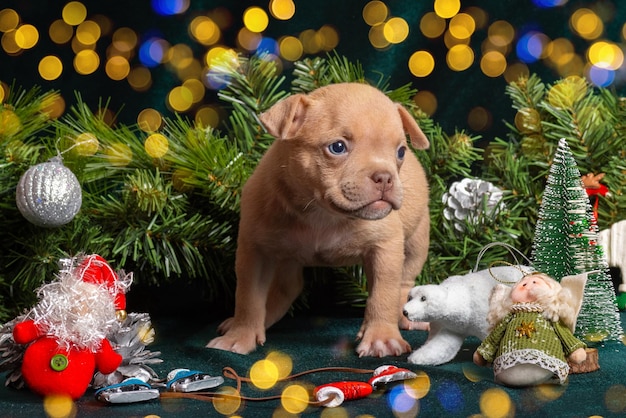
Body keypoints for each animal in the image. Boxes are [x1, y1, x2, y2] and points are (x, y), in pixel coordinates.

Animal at [206, 83, 428, 358]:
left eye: (400, 152)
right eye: (338, 147)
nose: (385, 177)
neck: (323, 213)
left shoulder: (385, 249)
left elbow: (383, 294)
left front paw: (381, 338)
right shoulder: (255, 251)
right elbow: (248, 297)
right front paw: (240, 335)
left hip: (417, 240)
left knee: (403, 282)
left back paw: (402, 317)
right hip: (286, 256)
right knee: (286, 287)